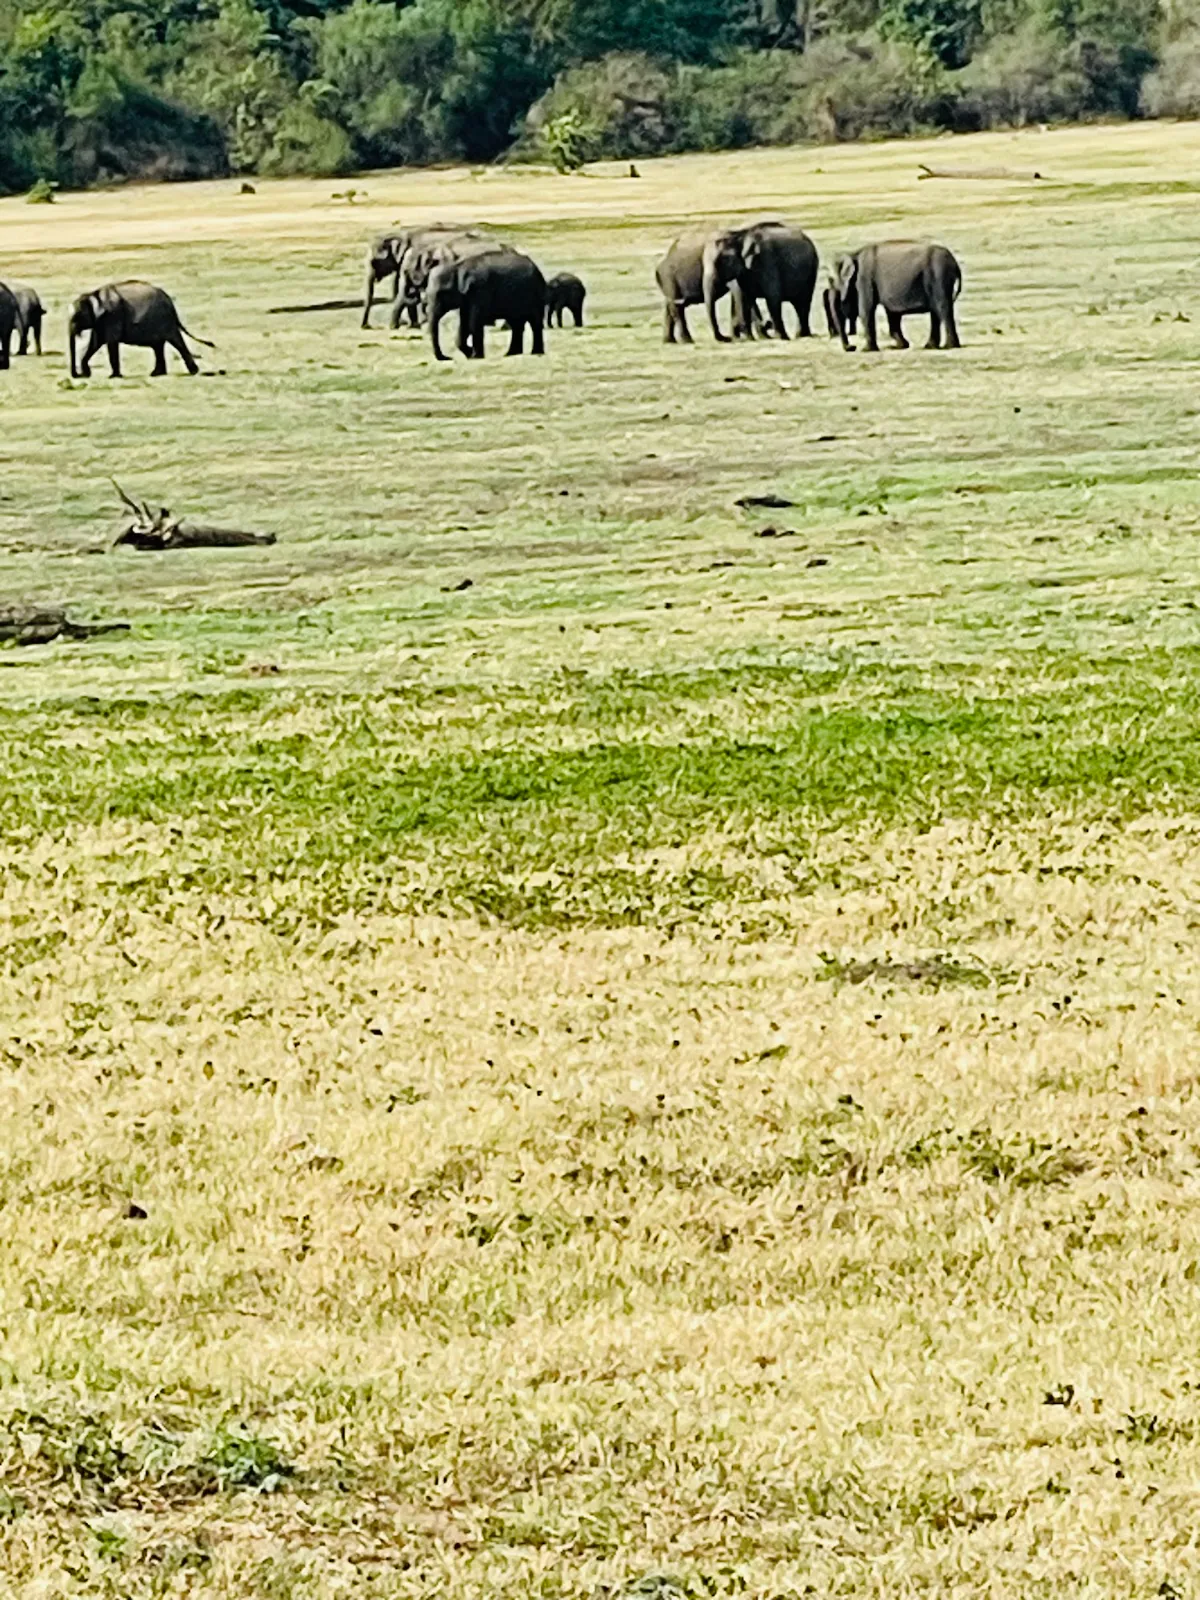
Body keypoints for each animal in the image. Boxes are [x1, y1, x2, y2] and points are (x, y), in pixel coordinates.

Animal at [68, 281, 214, 378]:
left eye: (76, 317)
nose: (79, 375)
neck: (93, 295)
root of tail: (171, 305)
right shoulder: (100, 322)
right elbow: (95, 343)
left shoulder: (113, 316)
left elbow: (111, 343)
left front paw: (114, 377)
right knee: (158, 346)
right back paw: (157, 374)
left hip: (164, 321)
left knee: (175, 341)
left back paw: (193, 372)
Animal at [828, 241, 962, 353]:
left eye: (831, 281)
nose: (852, 347)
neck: (854, 253)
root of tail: (955, 263)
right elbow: (892, 313)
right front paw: (899, 346)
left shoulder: (864, 278)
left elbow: (866, 310)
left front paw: (866, 350)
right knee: (936, 311)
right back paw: (930, 347)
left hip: (939, 277)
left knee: (943, 308)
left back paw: (949, 346)